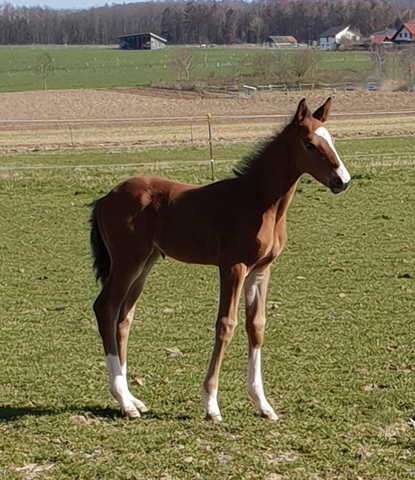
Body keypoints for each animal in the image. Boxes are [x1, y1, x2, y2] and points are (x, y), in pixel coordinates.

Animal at [90, 97, 352, 420]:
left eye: (332, 140)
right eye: (310, 144)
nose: (342, 180)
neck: (256, 202)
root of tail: (105, 198)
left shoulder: (261, 270)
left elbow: (257, 326)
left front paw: (263, 404)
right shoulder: (233, 267)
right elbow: (226, 324)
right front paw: (211, 404)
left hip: (145, 263)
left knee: (124, 317)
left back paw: (132, 399)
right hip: (127, 261)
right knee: (106, 308)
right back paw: (124, 401)